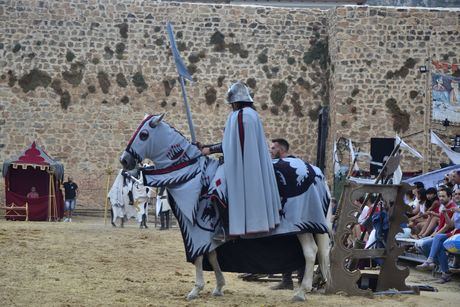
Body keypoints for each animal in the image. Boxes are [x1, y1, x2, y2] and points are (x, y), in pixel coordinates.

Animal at [118, 114, 330, 302]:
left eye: (144, 134)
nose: (124, 160)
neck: (190, 174)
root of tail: (316, 172)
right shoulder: (209, 233)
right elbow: (212, 256)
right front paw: (218, 286)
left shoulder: (195, 229)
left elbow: (199, 257)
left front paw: (196, 289)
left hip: (303, 225)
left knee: (310, 252)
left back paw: (301, 292)